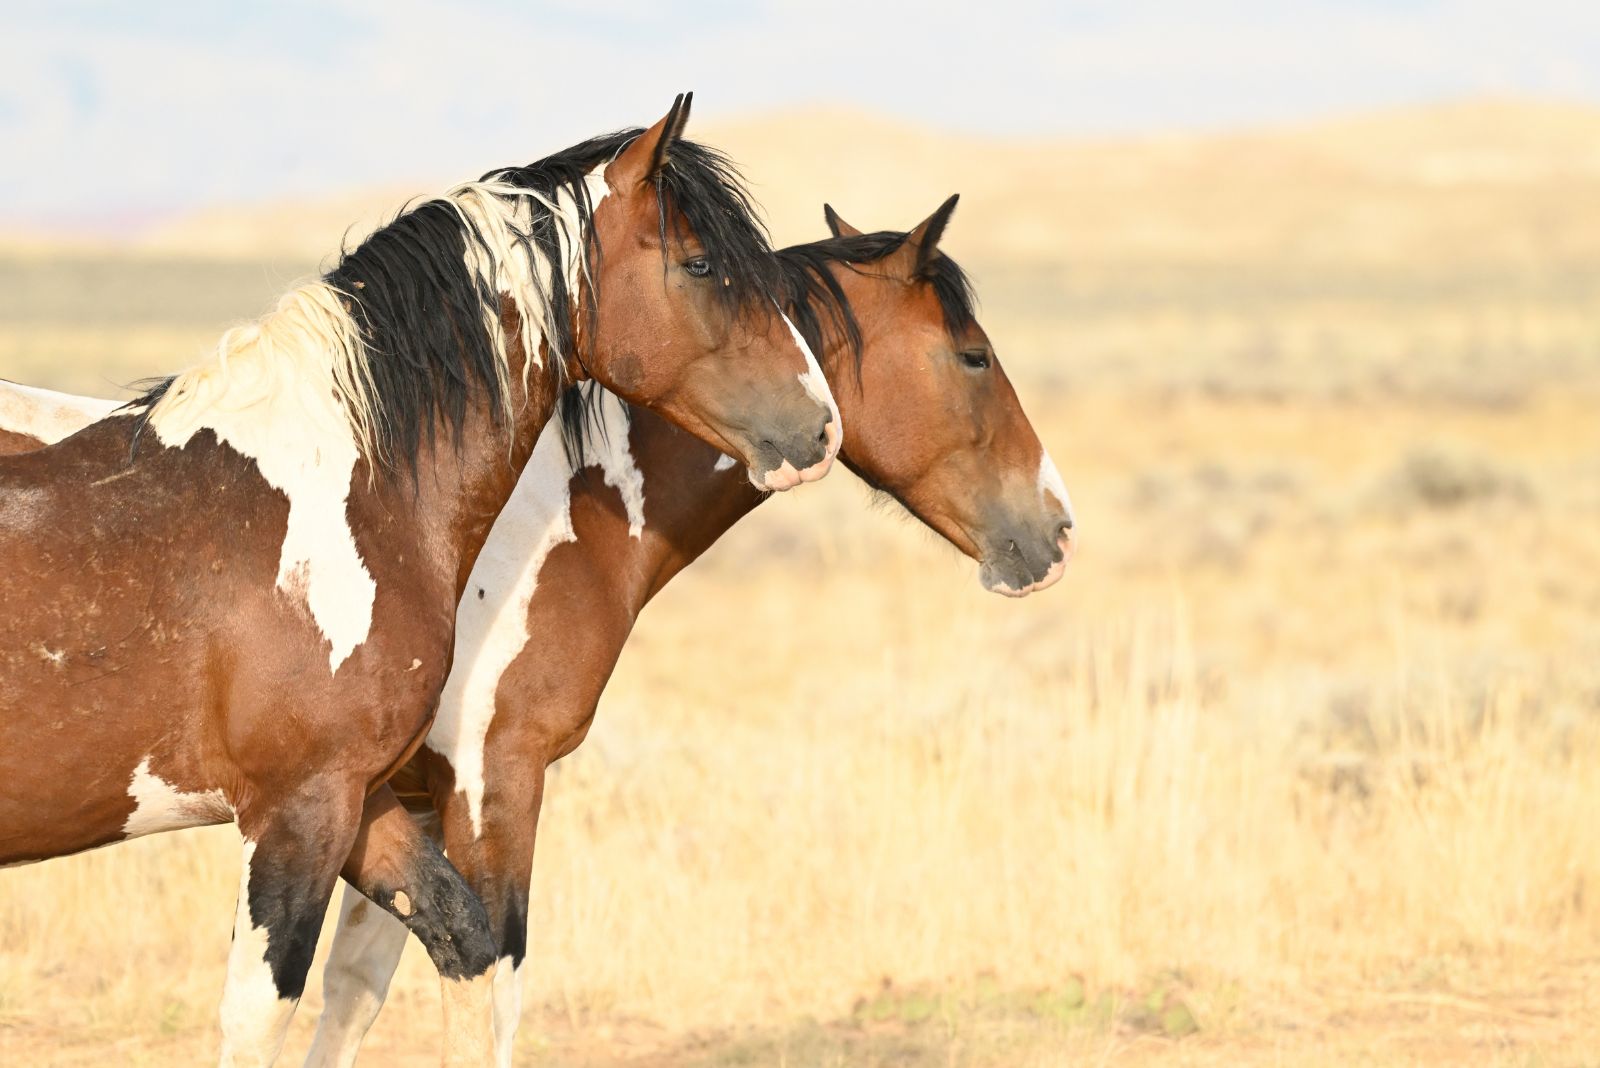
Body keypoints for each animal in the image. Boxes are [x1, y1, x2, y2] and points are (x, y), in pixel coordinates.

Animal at [0, 95, 844, 1061]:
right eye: (701, 263)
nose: (821, 425)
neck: (346, 496)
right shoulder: (300, 808)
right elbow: (264, 1012)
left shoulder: (363, 801)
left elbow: (463, 949)